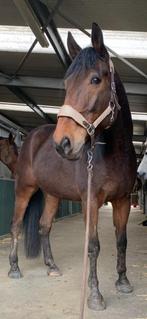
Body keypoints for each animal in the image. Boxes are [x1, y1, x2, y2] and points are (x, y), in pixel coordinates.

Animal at [8, 23, 136, 312]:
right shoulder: (91, 201)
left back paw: (51, 266)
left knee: (44, 226)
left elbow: (122, 240)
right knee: (16, 226)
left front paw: (123, 282)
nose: (62, 143)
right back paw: (14, 269)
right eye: (66, 84)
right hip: (24, 189)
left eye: (95, 80)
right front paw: (95, 296)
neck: (114, 154)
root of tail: (32, 137)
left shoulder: (123, 200)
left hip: (52, 194)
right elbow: (93, 246)